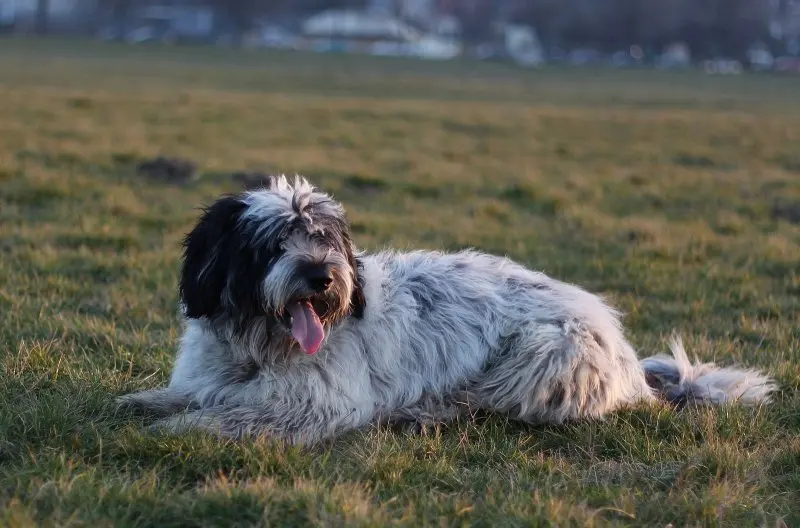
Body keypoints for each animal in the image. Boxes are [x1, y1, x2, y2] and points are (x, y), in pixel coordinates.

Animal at [117, 175, 776, 444]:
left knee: (490, 405)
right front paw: (144, 402)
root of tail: (632, 364)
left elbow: (231, 416)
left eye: (323, 238)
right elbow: (186, 395)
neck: (256, 350)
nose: (322, 277)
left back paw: (423, 414)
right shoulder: (211, 376)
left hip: (540, 354)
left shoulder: (315, 402)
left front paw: (179, 429)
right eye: (275, 242)